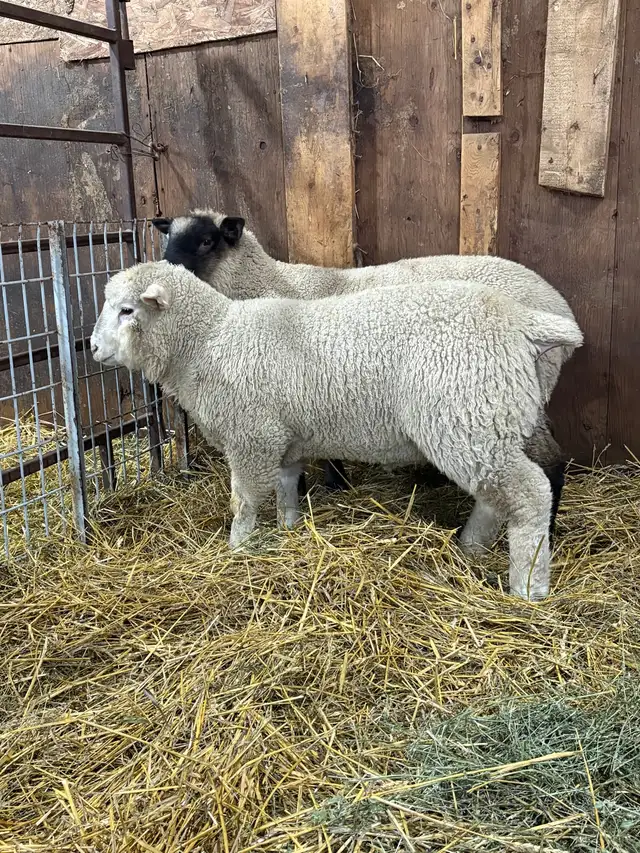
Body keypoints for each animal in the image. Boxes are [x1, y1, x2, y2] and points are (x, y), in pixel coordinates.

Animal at [90, 259, 583, 601]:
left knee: (530, 495)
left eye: (127, 310)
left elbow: (245, 501)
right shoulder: (284, 437)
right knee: (496, 496)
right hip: (484, 424)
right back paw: (470, 547)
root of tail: (522, 322)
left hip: (466, 416)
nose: (92, 347)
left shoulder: (252, 437)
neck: (209, 340)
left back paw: (528, 586)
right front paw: (290, 528)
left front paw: (237, 549)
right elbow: (287, 486)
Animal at [152, 212, 577, 536]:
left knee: (549, 464)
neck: (272, 284)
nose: (167, 270)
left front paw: (328, 485)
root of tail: (558, 308)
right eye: (167, 237)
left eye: (207, 241)